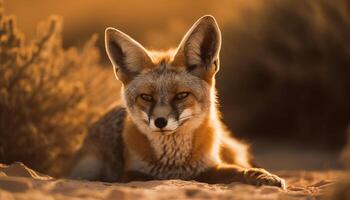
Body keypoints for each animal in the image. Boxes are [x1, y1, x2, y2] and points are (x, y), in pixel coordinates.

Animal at [69, 15, 286, 189]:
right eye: (146, 97)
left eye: (181, 95)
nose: (160, 122)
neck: (174, 163)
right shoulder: (129, 173)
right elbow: (143, 176)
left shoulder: (211, 166)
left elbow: (240, 171)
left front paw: (264, 177)